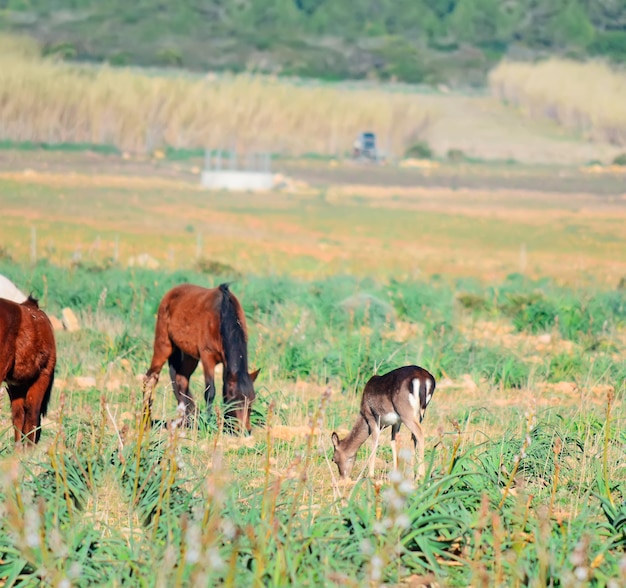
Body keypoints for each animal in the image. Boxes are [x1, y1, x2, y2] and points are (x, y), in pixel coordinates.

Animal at [142, 282, 258, 434]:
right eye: (236, 401)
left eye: (252, 400)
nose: (245, 430)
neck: (222, 316)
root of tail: (171, 294)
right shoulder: (207, 357)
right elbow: (210, 392)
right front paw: (208, 424)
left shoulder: (225, 363)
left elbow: (224, 389)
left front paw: (226, 425)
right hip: (164, 345)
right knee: (150, 378)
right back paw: (146, 420)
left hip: (189, 356)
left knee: (181, 380)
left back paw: (185, 419)